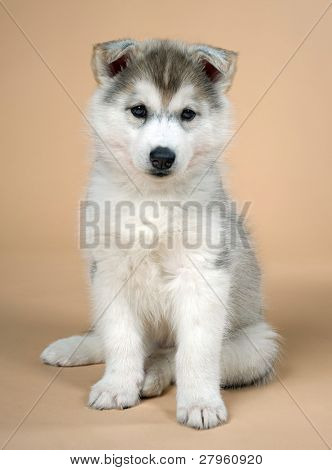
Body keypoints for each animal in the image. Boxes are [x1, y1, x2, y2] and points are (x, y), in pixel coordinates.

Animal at [42, 39, 280, 430]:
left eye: (188, 114)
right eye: (139, 110)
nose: (163, 156)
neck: (152, 199)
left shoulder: (202, 274)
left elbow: (195, 352)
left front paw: (200, 403)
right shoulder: (109, 272)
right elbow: (120, 338)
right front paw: (117, 387)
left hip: (259, 345)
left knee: (171, 355)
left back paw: (154, 374)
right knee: (117, 340)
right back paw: (74, 348)